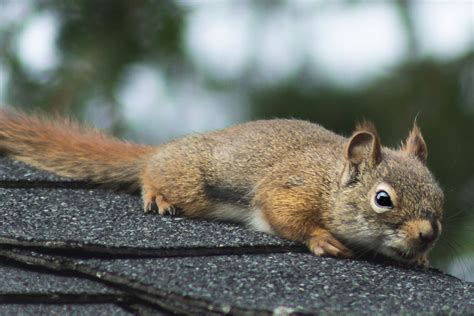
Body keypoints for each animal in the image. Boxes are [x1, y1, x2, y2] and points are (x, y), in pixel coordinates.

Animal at [0, 109, 444, 266]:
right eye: (382, 199)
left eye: (438, 196)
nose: (428, 235)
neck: (329, 183)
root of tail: (161, 150)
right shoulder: (290, 189)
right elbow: (286, 216)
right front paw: (322, 238)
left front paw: (419, 259)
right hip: (191, 183)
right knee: (153, 174)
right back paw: (157, 192)